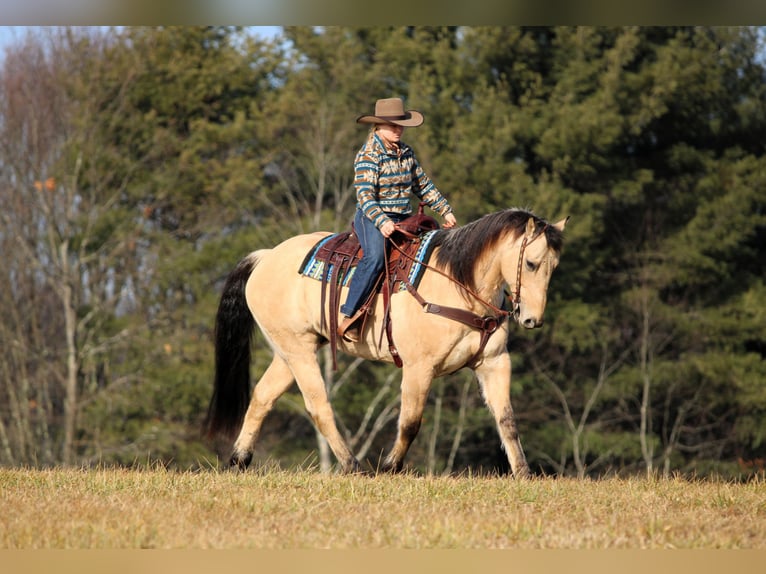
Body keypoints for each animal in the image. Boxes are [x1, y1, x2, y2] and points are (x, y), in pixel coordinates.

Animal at [205, 208, 568, 478]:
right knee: (319, 405)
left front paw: (523, 472)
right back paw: (353, 465)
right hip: (299, 352)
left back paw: (239, 460)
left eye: (554, 266)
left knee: (262, 397)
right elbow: (410, 422)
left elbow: (507, 420)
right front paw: (390, 466)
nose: (532, 319)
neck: (458, 284)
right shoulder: (419, 367)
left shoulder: (494, 362)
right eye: (531, 263)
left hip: (289, 352)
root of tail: (265, 257)